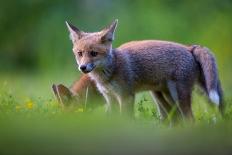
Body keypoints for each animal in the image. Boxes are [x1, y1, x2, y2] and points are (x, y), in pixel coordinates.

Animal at [59, 18, 223, 119]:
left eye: (93, 53)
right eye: (80, 53)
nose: (83, 67)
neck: (109, 74)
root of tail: (189, 48)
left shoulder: (125, 96)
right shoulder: (110, 98)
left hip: (178, 96)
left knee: (190, 120)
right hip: (163, 96)